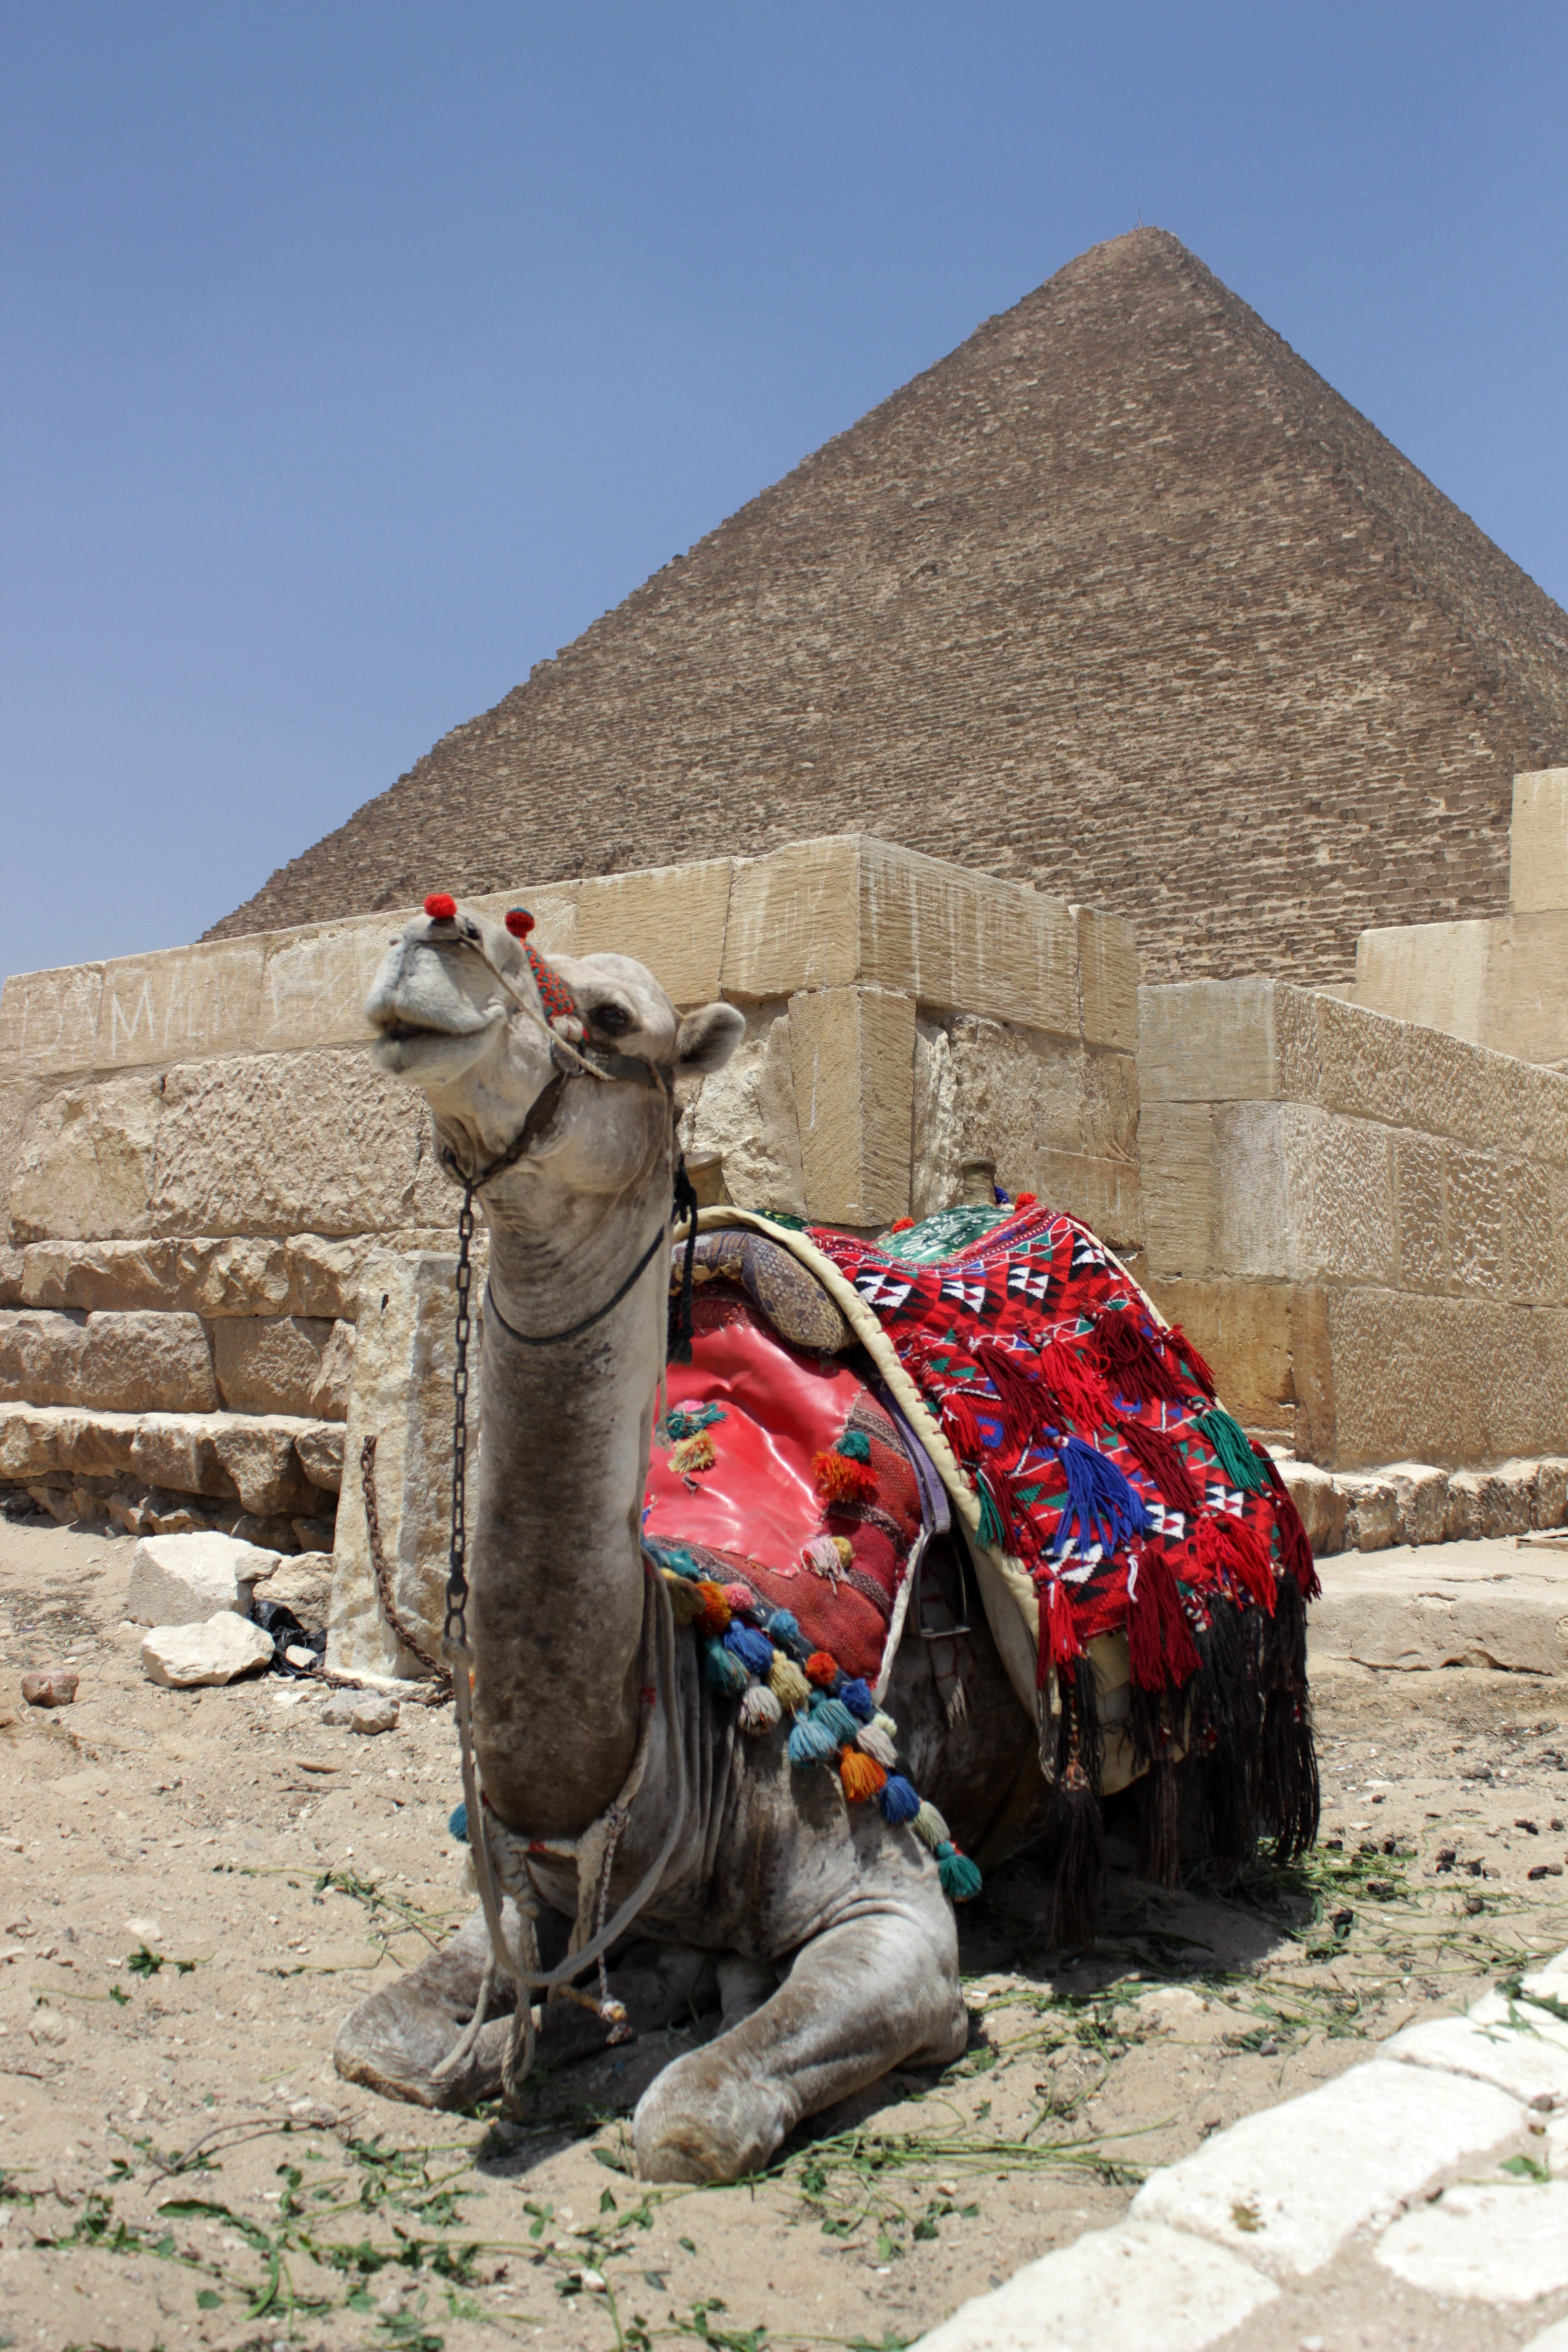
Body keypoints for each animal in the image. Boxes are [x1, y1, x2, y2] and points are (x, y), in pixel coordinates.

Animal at [333, 894, 1315, 2183]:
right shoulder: (524, 1888)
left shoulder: (892, 1898)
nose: (431, 938)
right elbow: (378, 2037)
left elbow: (690, 2117)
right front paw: (581, 2011)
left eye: (612, 1013)